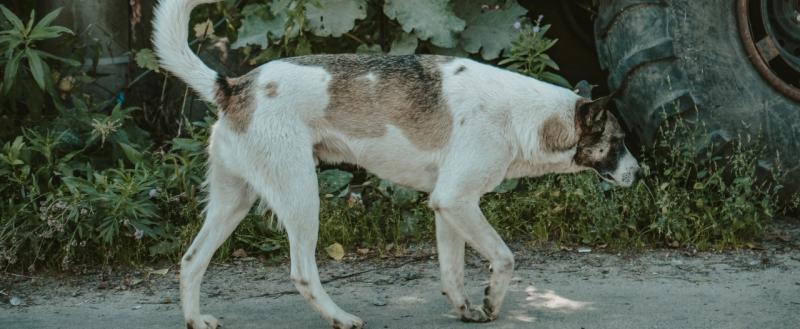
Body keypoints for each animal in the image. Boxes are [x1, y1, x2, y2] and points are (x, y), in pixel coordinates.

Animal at [153, 1, 640, 326]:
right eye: (617, 142)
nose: (641, 173)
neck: (523, 116)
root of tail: (236, 85)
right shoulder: (458, 202)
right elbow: (504, 257)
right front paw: (492, 301)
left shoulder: (449, 207)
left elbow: (452, 270)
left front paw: (466, 308)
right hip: (301, 197)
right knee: (302, 272)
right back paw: (339, 316)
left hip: (232, 203)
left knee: (191, 261)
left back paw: (196, 319)